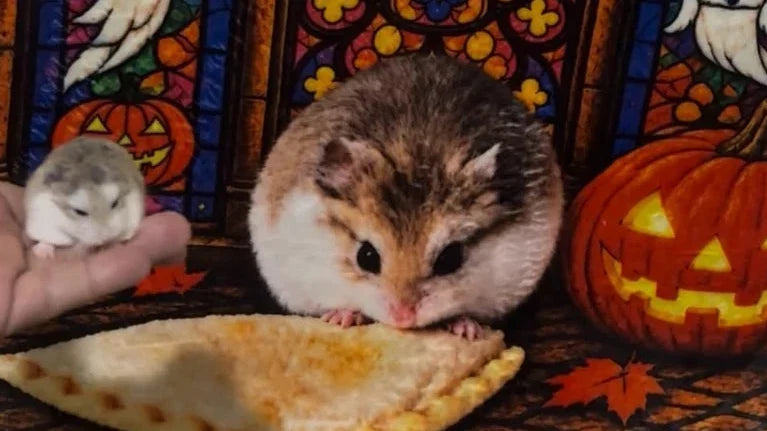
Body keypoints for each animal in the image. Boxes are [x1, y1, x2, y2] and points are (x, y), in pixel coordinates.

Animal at [249, 55, 563, 339]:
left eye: (450, 259)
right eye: (366, 257)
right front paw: (342, 317)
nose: (402, 319)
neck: (415, 156)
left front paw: (467, 329)